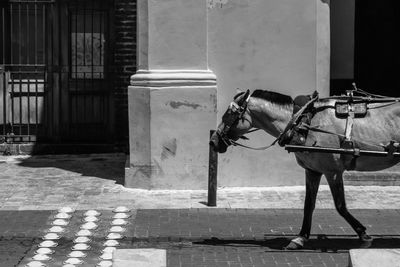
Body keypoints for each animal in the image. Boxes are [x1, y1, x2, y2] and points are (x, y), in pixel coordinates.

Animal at [209, 89, 400, 250]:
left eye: (229, 114)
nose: (213, 141)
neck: (302, 123)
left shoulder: (333, 171)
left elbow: (340, 206)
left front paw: (363, 234)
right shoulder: (312, 170)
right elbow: (308, 204)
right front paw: (300, 238)